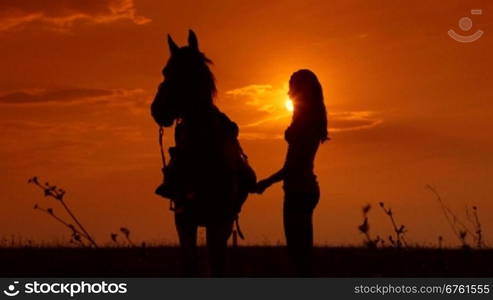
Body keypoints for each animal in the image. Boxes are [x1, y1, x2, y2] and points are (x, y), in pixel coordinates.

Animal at [150, 29, 252, 276]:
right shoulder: (183, 218)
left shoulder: (220, 221)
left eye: (189, 71)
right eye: (166, 71)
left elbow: (217, 265)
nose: (157, 110)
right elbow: (190, 265)